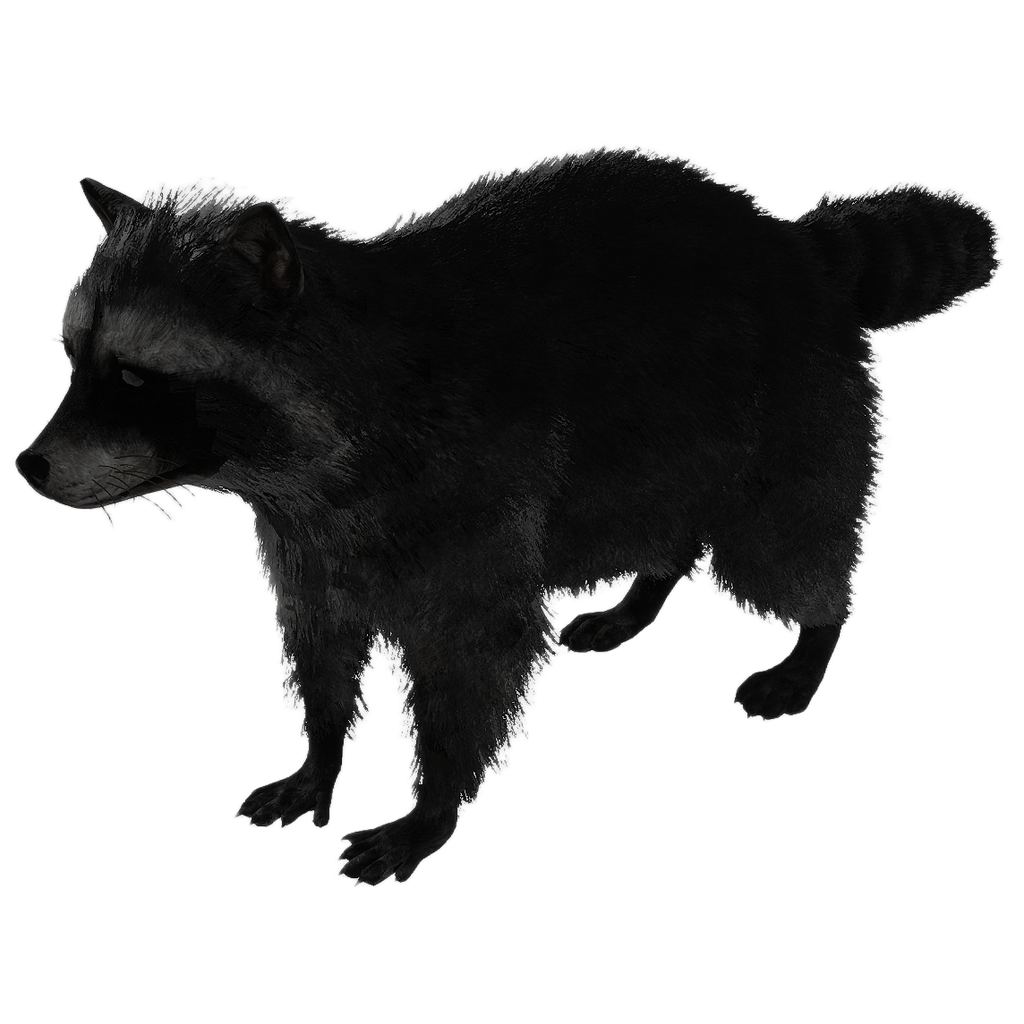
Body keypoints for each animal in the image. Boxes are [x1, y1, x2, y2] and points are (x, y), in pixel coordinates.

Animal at [14, 146, 1005, 884]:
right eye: (73, 358)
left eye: (136, 377)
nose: (28, 466)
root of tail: (792, 240)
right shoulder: (309, 542)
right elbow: (321, 649)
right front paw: (321, 756)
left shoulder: (466, 508)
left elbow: (471, 665)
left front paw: (428, 810)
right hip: (651, 449)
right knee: (665, 525)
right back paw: (642, 596)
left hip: (777, 415)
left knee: (789, 543)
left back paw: (814, 639)